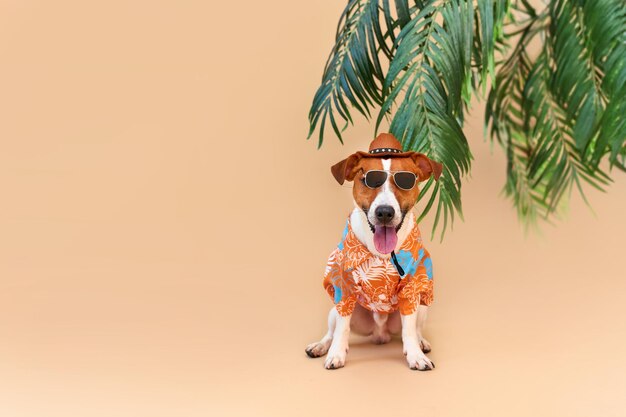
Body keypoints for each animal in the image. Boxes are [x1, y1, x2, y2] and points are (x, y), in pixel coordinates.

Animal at [304, 132, 442, 368]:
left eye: (406, 181)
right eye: (368, 180)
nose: (384, 212)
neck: (383, 255)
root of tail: (380, 333)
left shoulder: (412, 288)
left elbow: (409, 330)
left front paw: (416, 355)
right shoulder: (344, 289)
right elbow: (342, 329)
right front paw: (336, 354)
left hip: (422, 308)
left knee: (415, 329)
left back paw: (422, 342)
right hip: (334, 310)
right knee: (332, 331)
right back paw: (320, 346)